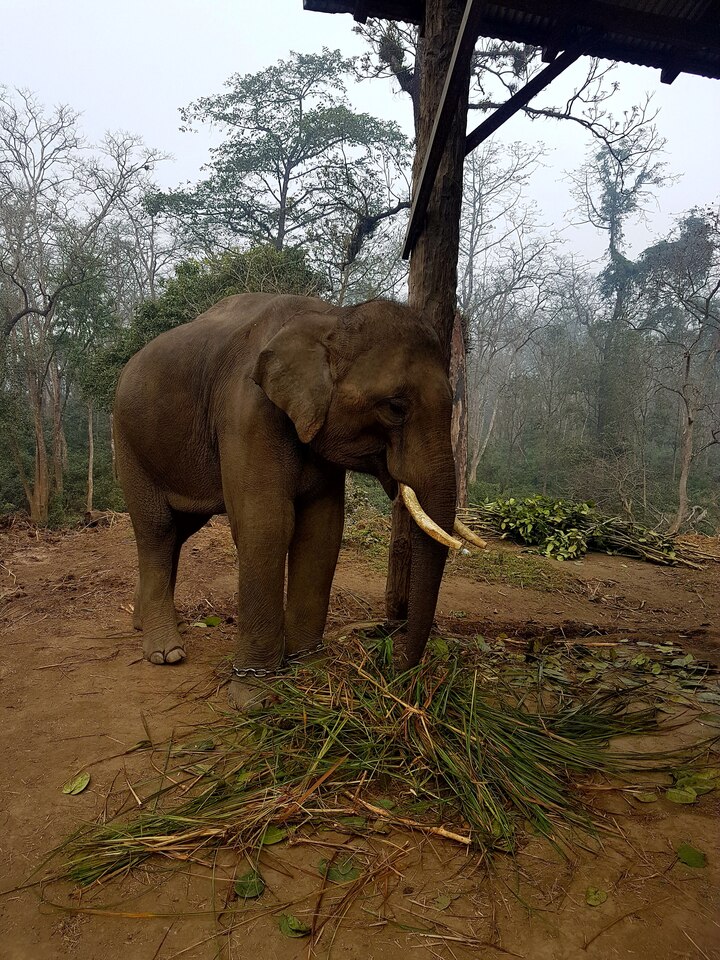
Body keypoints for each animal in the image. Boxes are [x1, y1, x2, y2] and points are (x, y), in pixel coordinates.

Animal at [114, 292, 481, 709]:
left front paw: (309, 672)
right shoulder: (247, 412)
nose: (396, 669)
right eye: (394, 407)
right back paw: (165, 652)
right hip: (129, 443)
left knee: (180, 530)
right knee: (158, 529)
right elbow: (266, 525)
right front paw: (254, 697)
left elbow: (322, 529)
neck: (332, 318)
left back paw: (146, 623)